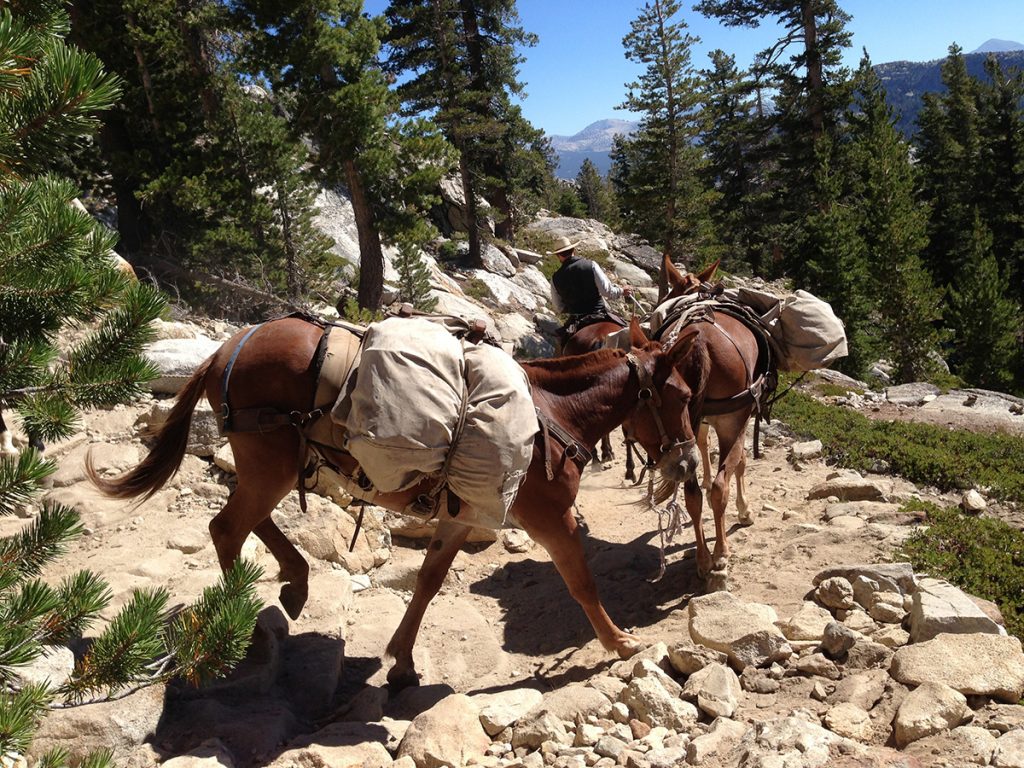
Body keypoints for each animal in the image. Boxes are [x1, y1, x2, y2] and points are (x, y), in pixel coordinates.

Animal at [92, 315, 704, 688]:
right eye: (679, 395)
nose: (689, 465)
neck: (551, 415)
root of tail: (224, 349)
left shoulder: (462, 516)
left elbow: (428, 583)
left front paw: (402, 662)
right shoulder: (551, 518)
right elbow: (582, 583)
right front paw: (620, 643)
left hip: (272, 467)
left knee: (250, 522)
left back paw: (295, 583)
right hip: (270, 465)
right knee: (227, 528)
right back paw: (244, 629)